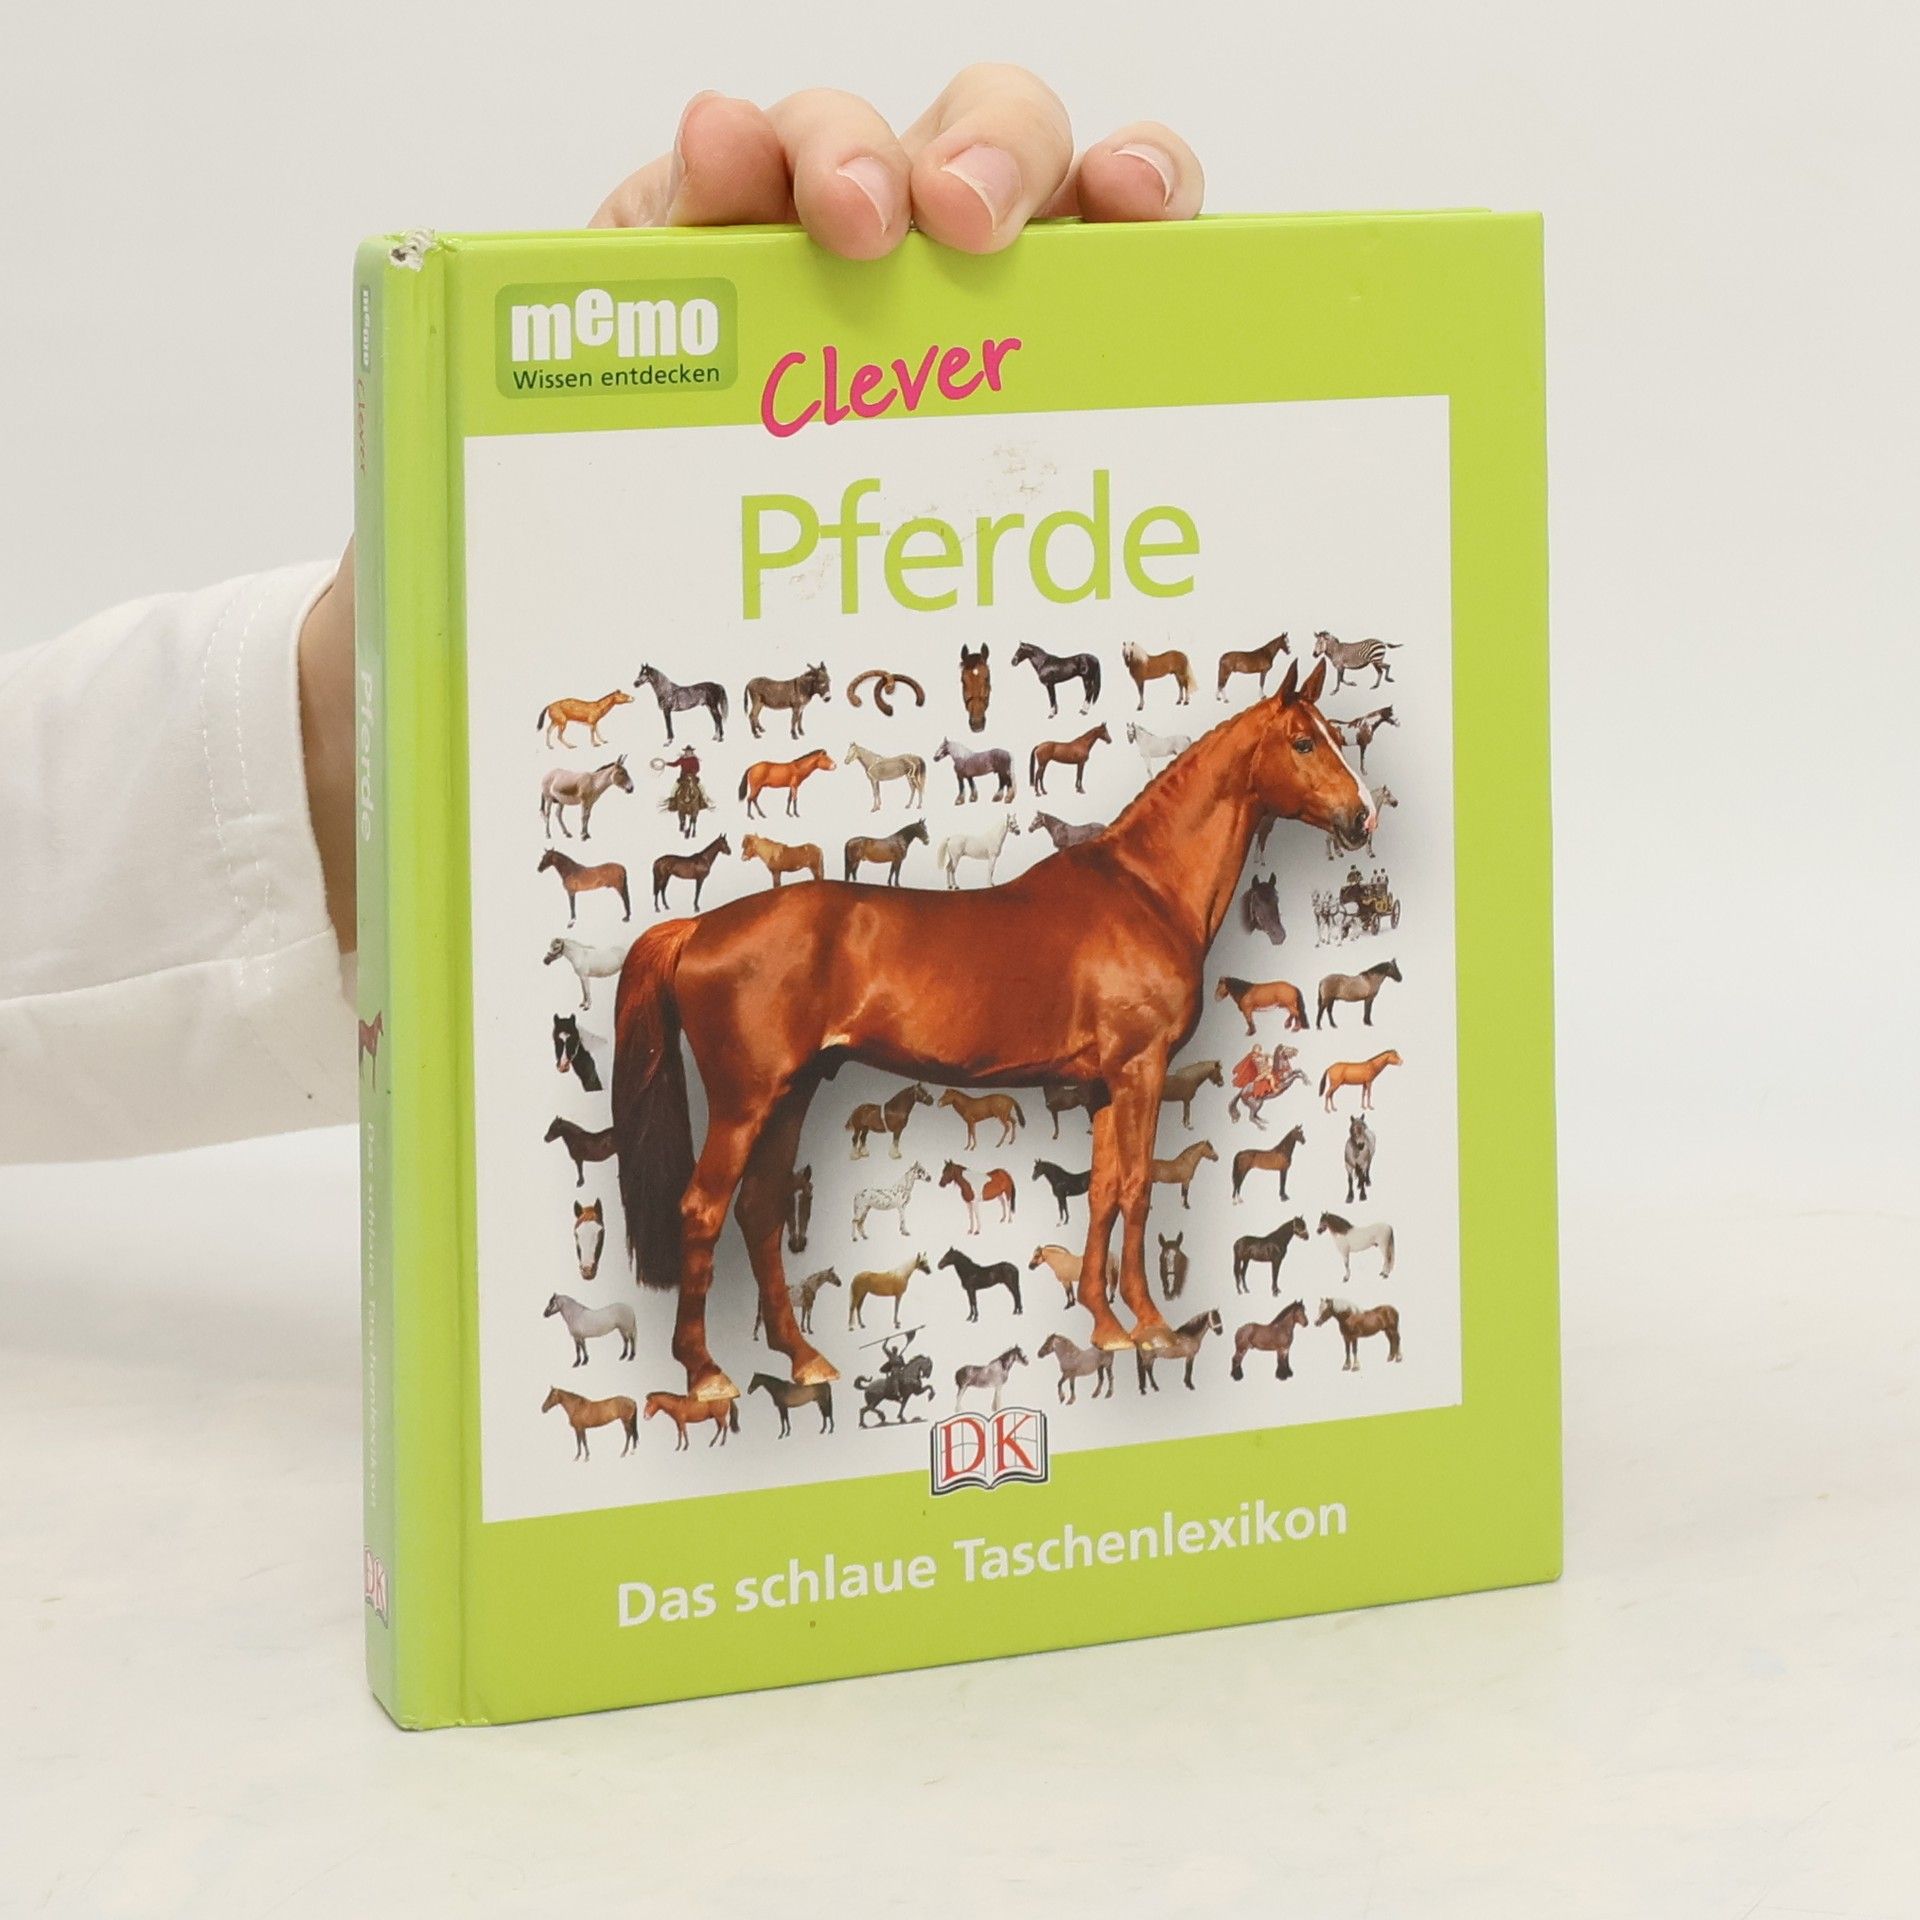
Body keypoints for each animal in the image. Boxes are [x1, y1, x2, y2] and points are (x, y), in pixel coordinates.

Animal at [608, 657, 1372, 1401]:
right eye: (1304, 742)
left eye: (1335, 734)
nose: (1363, 817)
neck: (1144, 891)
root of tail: (698, 926)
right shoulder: (1140, 1068)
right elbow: (1137, 1189)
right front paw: (1151, 1326)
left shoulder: (1103, 1085)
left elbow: (1102, 1193)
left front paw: (1105, 1326)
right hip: (745, 1102)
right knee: (702, 1210)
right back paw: (706, 1374)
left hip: (792, 1093)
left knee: (760, 1213)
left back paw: (805, 1360)